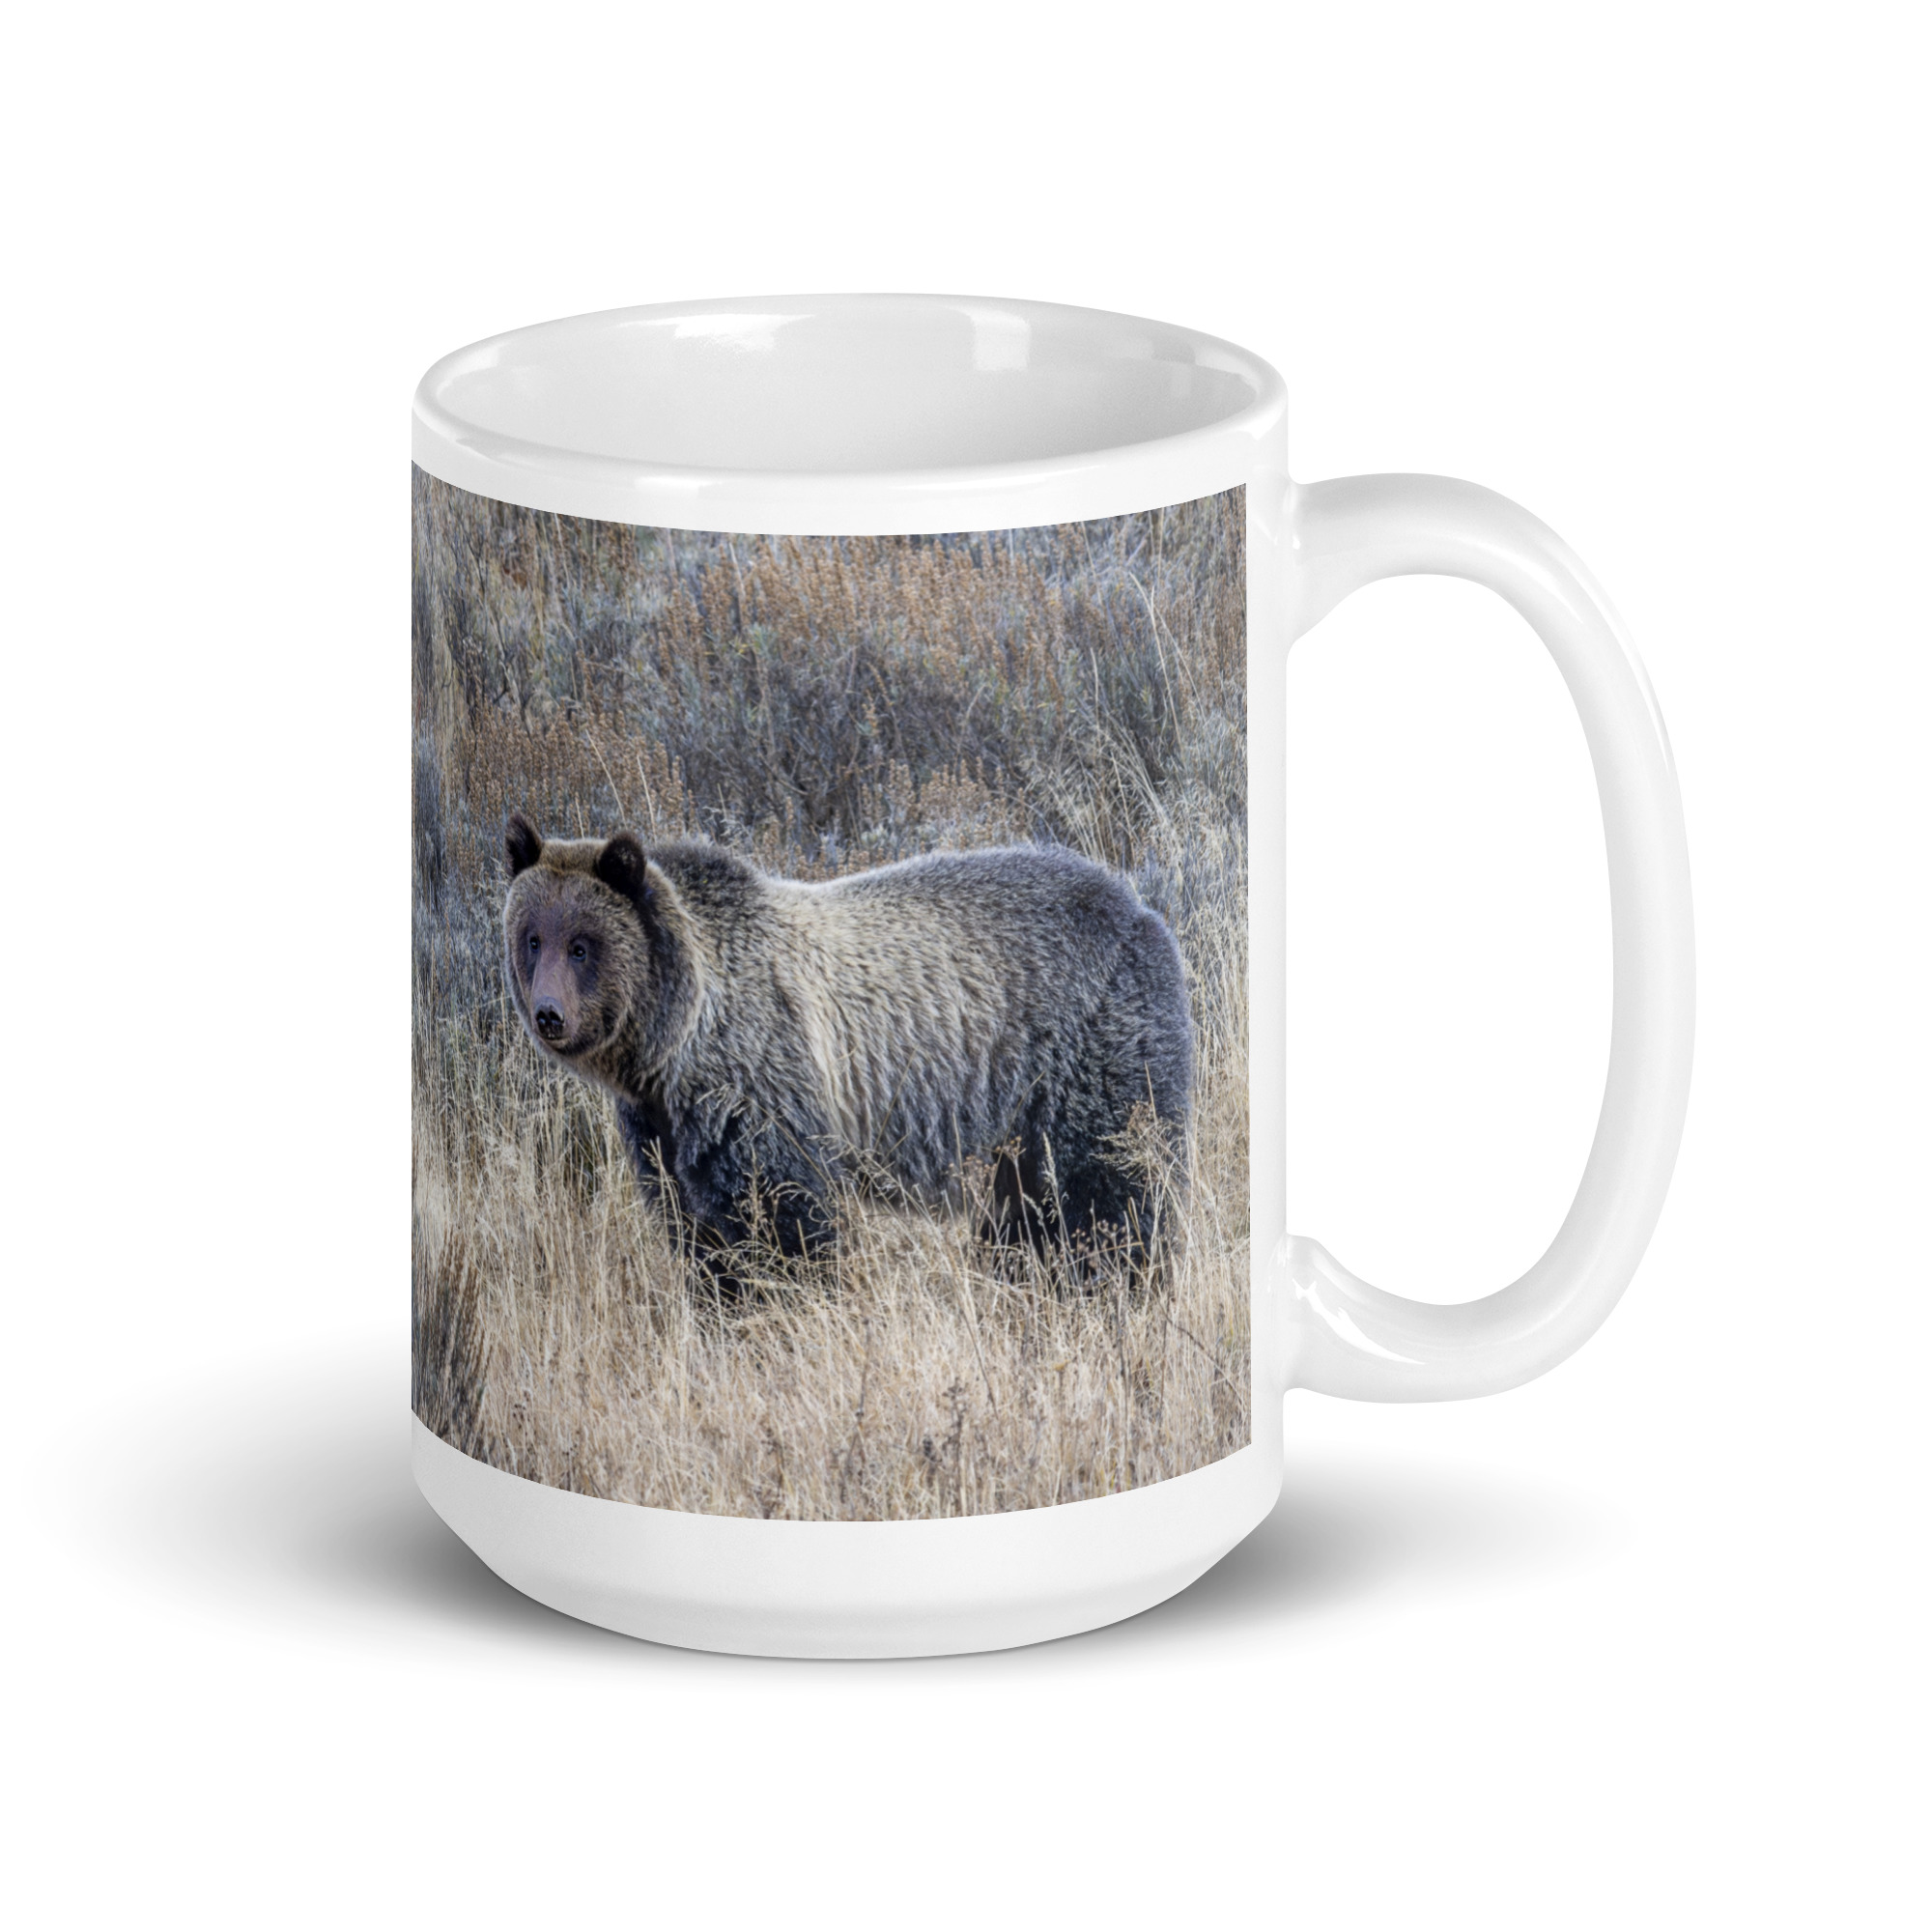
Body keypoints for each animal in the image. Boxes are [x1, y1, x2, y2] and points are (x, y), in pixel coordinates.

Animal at [501, 812, 1193, 1278]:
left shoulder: (760, 1082)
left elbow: (786, 1222)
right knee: (1027, 1215)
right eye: (532, 938)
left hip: (1085, 1054)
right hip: (1018, 1125)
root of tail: (1140, 906)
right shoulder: (662, 1129)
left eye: (583, 944)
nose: (549, 1015)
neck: (674, 1045)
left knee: (1110, 1187)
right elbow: (697, 1230)